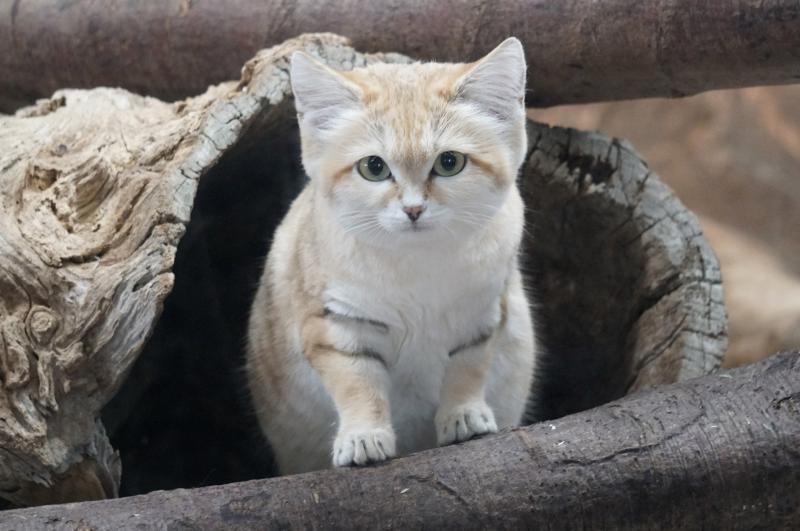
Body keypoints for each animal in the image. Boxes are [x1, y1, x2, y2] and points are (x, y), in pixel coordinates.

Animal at [247, 37, 536, 474]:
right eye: (374, 167)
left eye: (449, 162)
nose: (413, 209)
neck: (417, 263)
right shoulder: (336, 324)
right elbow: (358, 384)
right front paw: (363, 437)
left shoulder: (483, 314)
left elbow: (467, 369)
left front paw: (463, 416)